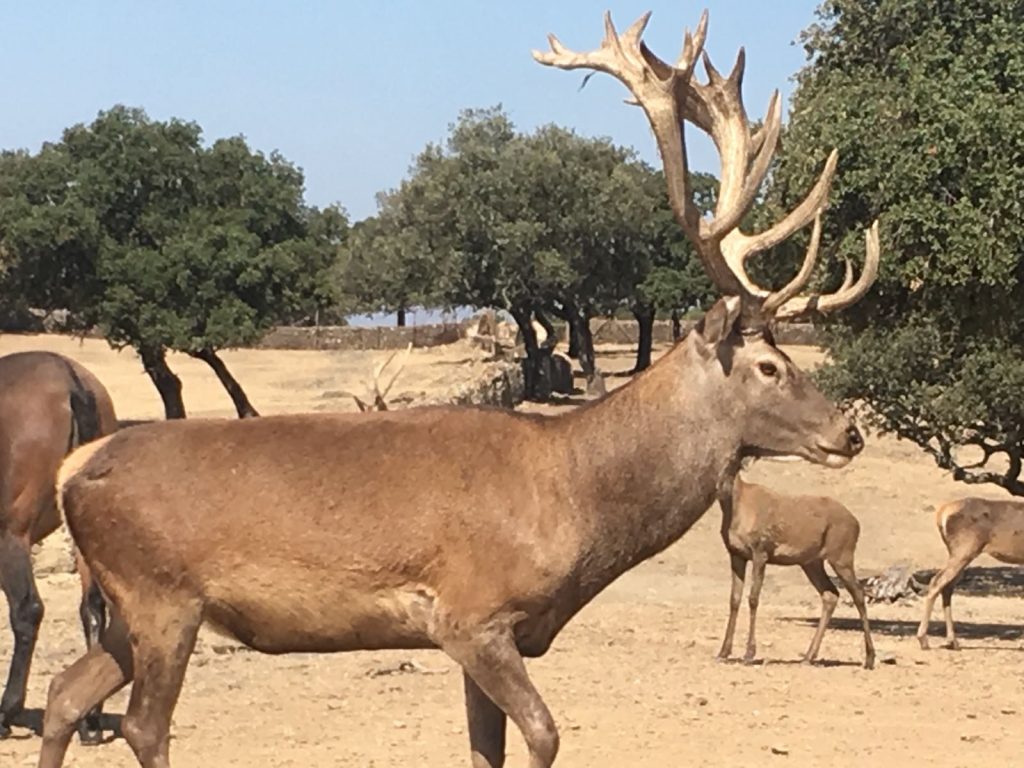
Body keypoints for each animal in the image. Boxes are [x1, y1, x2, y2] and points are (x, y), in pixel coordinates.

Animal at [0, 352, 117, 741]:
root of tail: (70, 380)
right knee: (93, 608)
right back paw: (90, 719)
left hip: (11, 535)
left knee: (27, 611)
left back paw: (6, 712)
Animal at [716, 473, 876, 671]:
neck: (739, 506)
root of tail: (856, 523)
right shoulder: (736, 555)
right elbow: (734, 600)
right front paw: (723, 652)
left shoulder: (760, 553)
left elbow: (753, 599)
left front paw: (749, 654)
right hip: (811, 563)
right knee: (830, 594)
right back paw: (808, 657)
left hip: (841, 558)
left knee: (858, 594)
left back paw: (869, 658)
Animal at [917, 499, 1024, 651]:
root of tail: (942, 513)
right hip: (964, 549)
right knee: (937, 581)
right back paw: (924, 639)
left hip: (958, 552)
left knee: (947, 587)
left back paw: (952, 641)